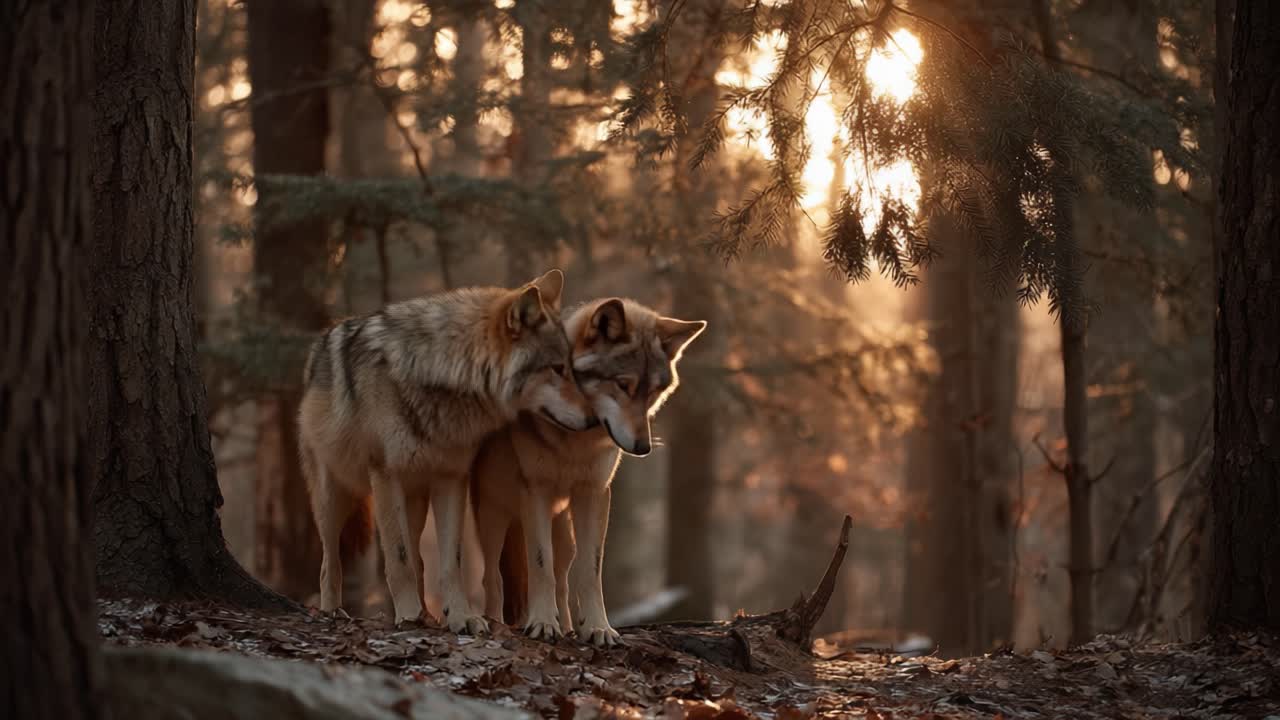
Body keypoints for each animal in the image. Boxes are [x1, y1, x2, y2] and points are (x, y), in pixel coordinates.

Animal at [297, 269, 596, 634]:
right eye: (557, 368)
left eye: (573, 367)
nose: (595, 419)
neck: (442, 373)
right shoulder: (385, 475)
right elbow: (397, 559)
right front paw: (408, 615)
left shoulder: (452, 478)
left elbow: (450, 560)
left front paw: (460, 616)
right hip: (333, 498)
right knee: (330, 562)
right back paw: (333, 612)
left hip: (414, 500)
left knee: (418, 558)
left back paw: (427, 614)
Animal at [470, 297, 706, 646]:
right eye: (623, 385)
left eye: (653, 393)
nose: (642, 448)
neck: (575, 440)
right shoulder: (536, 490)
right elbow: (539, 564)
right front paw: (542, 623)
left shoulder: (594, 493)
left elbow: (590, 570)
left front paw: (596, 628)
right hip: (494, 515)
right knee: (492, 577)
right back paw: (497, 622)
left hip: (562, 530)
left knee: (563, 575)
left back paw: (569, 626)